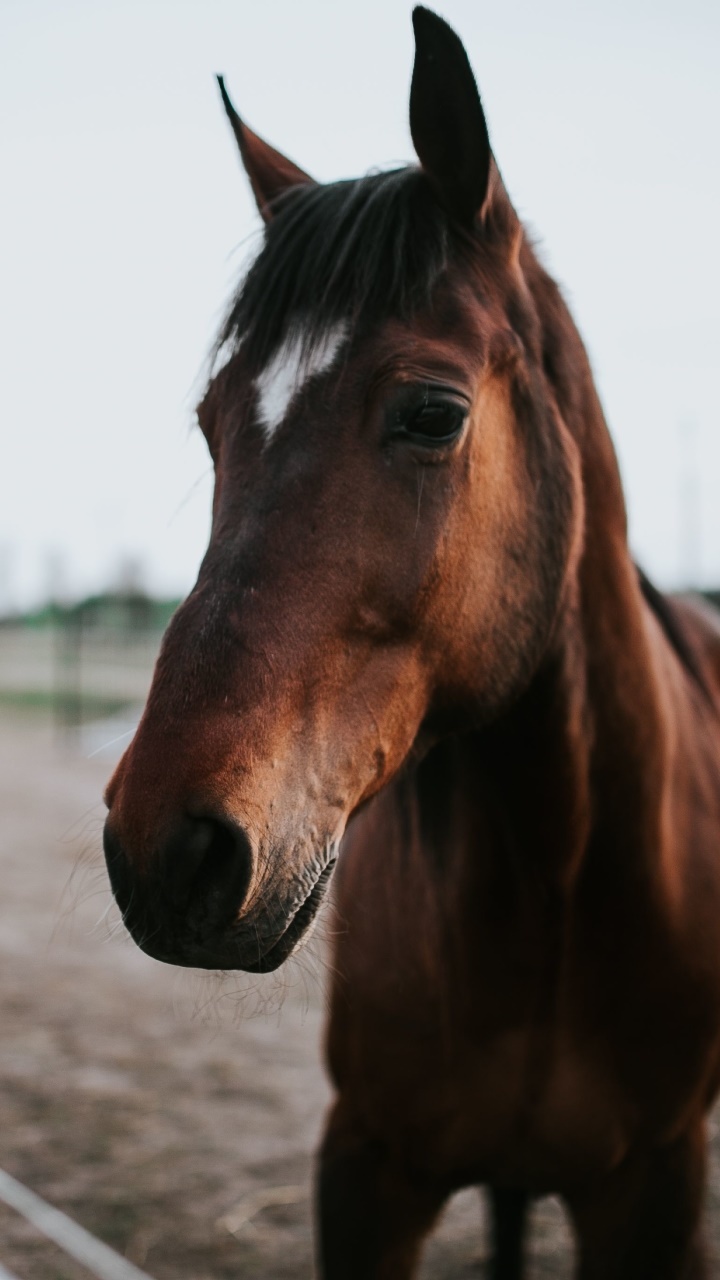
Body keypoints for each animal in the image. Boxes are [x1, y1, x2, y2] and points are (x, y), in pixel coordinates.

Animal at [103, 8, 720, 1277]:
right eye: (211, 422)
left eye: (433, 411)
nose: (165, 849)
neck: (556, 870)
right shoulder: (368, 1169)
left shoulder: (659, 1185)